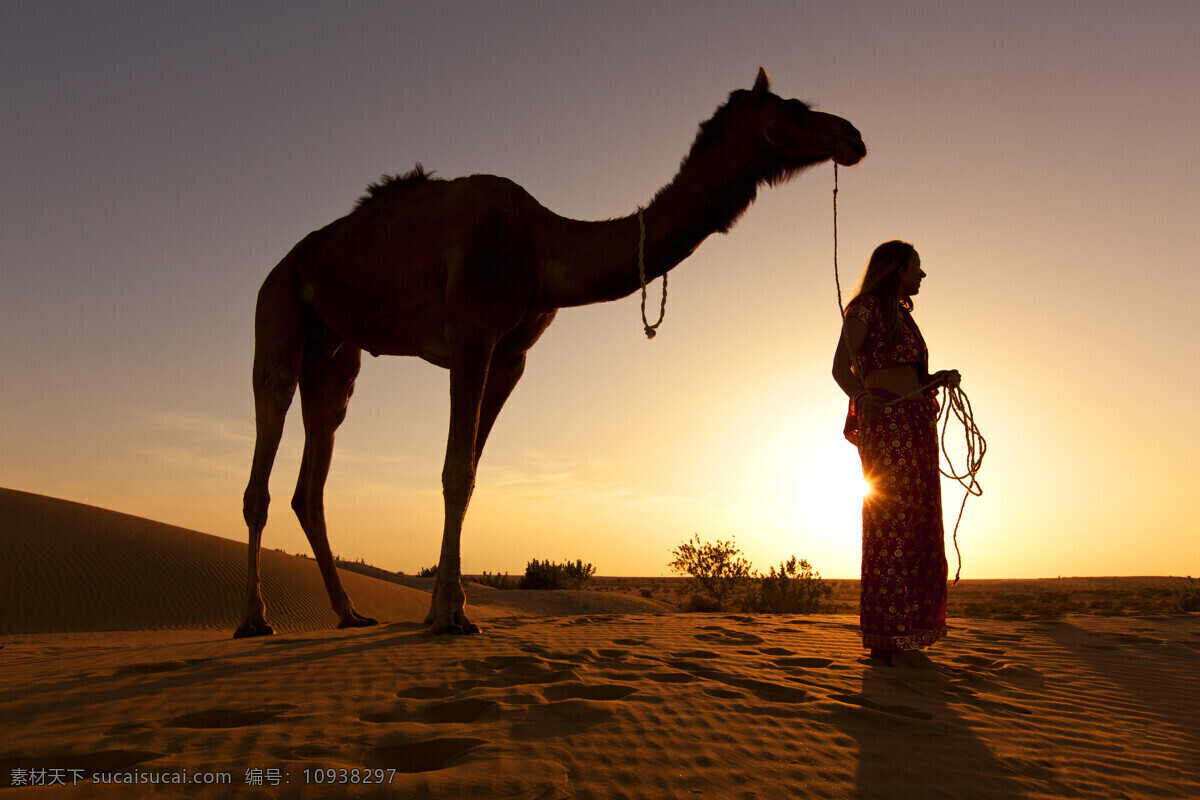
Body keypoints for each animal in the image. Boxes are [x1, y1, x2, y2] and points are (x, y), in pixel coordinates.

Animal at [236, 68, 864, 638]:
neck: (541, 246)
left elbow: (470, 472)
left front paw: (446, 607)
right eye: (795, 109)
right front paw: (449, 616)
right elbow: (454, 470)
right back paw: (254, 620)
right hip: (278, 309)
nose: (853, 134)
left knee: (312, 476)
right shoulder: (471, 333)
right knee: (265, 450)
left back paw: (348, 613)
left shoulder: (511, 357)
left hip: (336, 351)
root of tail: (286, 260)